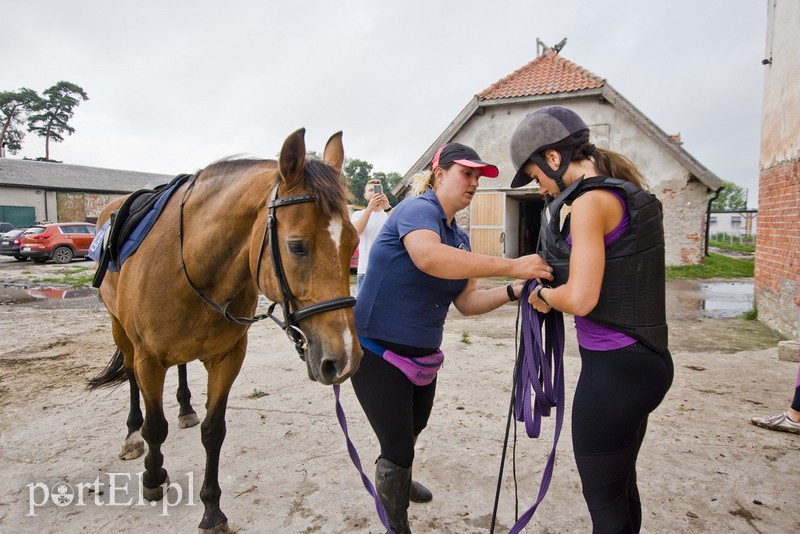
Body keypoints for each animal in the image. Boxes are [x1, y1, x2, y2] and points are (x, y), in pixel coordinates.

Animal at [89, 131, 360, 534]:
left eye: (354, 243)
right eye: (296, 246)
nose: (343, 359)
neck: (190, 262)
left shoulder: (228, 357)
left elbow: (214, 432)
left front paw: (212, 509)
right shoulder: (149, 359)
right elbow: (156, 428)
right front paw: (153, 478)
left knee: (181, 368)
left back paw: (186, 408)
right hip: (120, 330)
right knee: (133, 382)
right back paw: (132, 435)